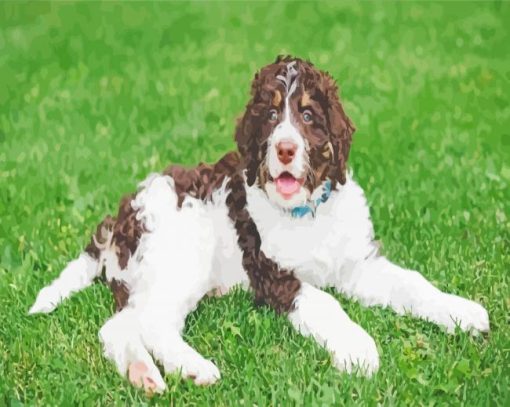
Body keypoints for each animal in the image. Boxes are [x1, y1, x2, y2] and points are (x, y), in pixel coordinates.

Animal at [28, 55, 490, 394]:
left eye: (308, 115)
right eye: (269, 114)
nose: (285, 149)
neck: (306, 214)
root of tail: (120, 217)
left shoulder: (359, 264)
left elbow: (412, 283)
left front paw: (461, 312)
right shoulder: (274, 274)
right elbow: (327, 303)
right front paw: (359, 350)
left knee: (119, 326)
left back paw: (144, 375)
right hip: (183, 254)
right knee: (153, 323)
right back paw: (193, 368)